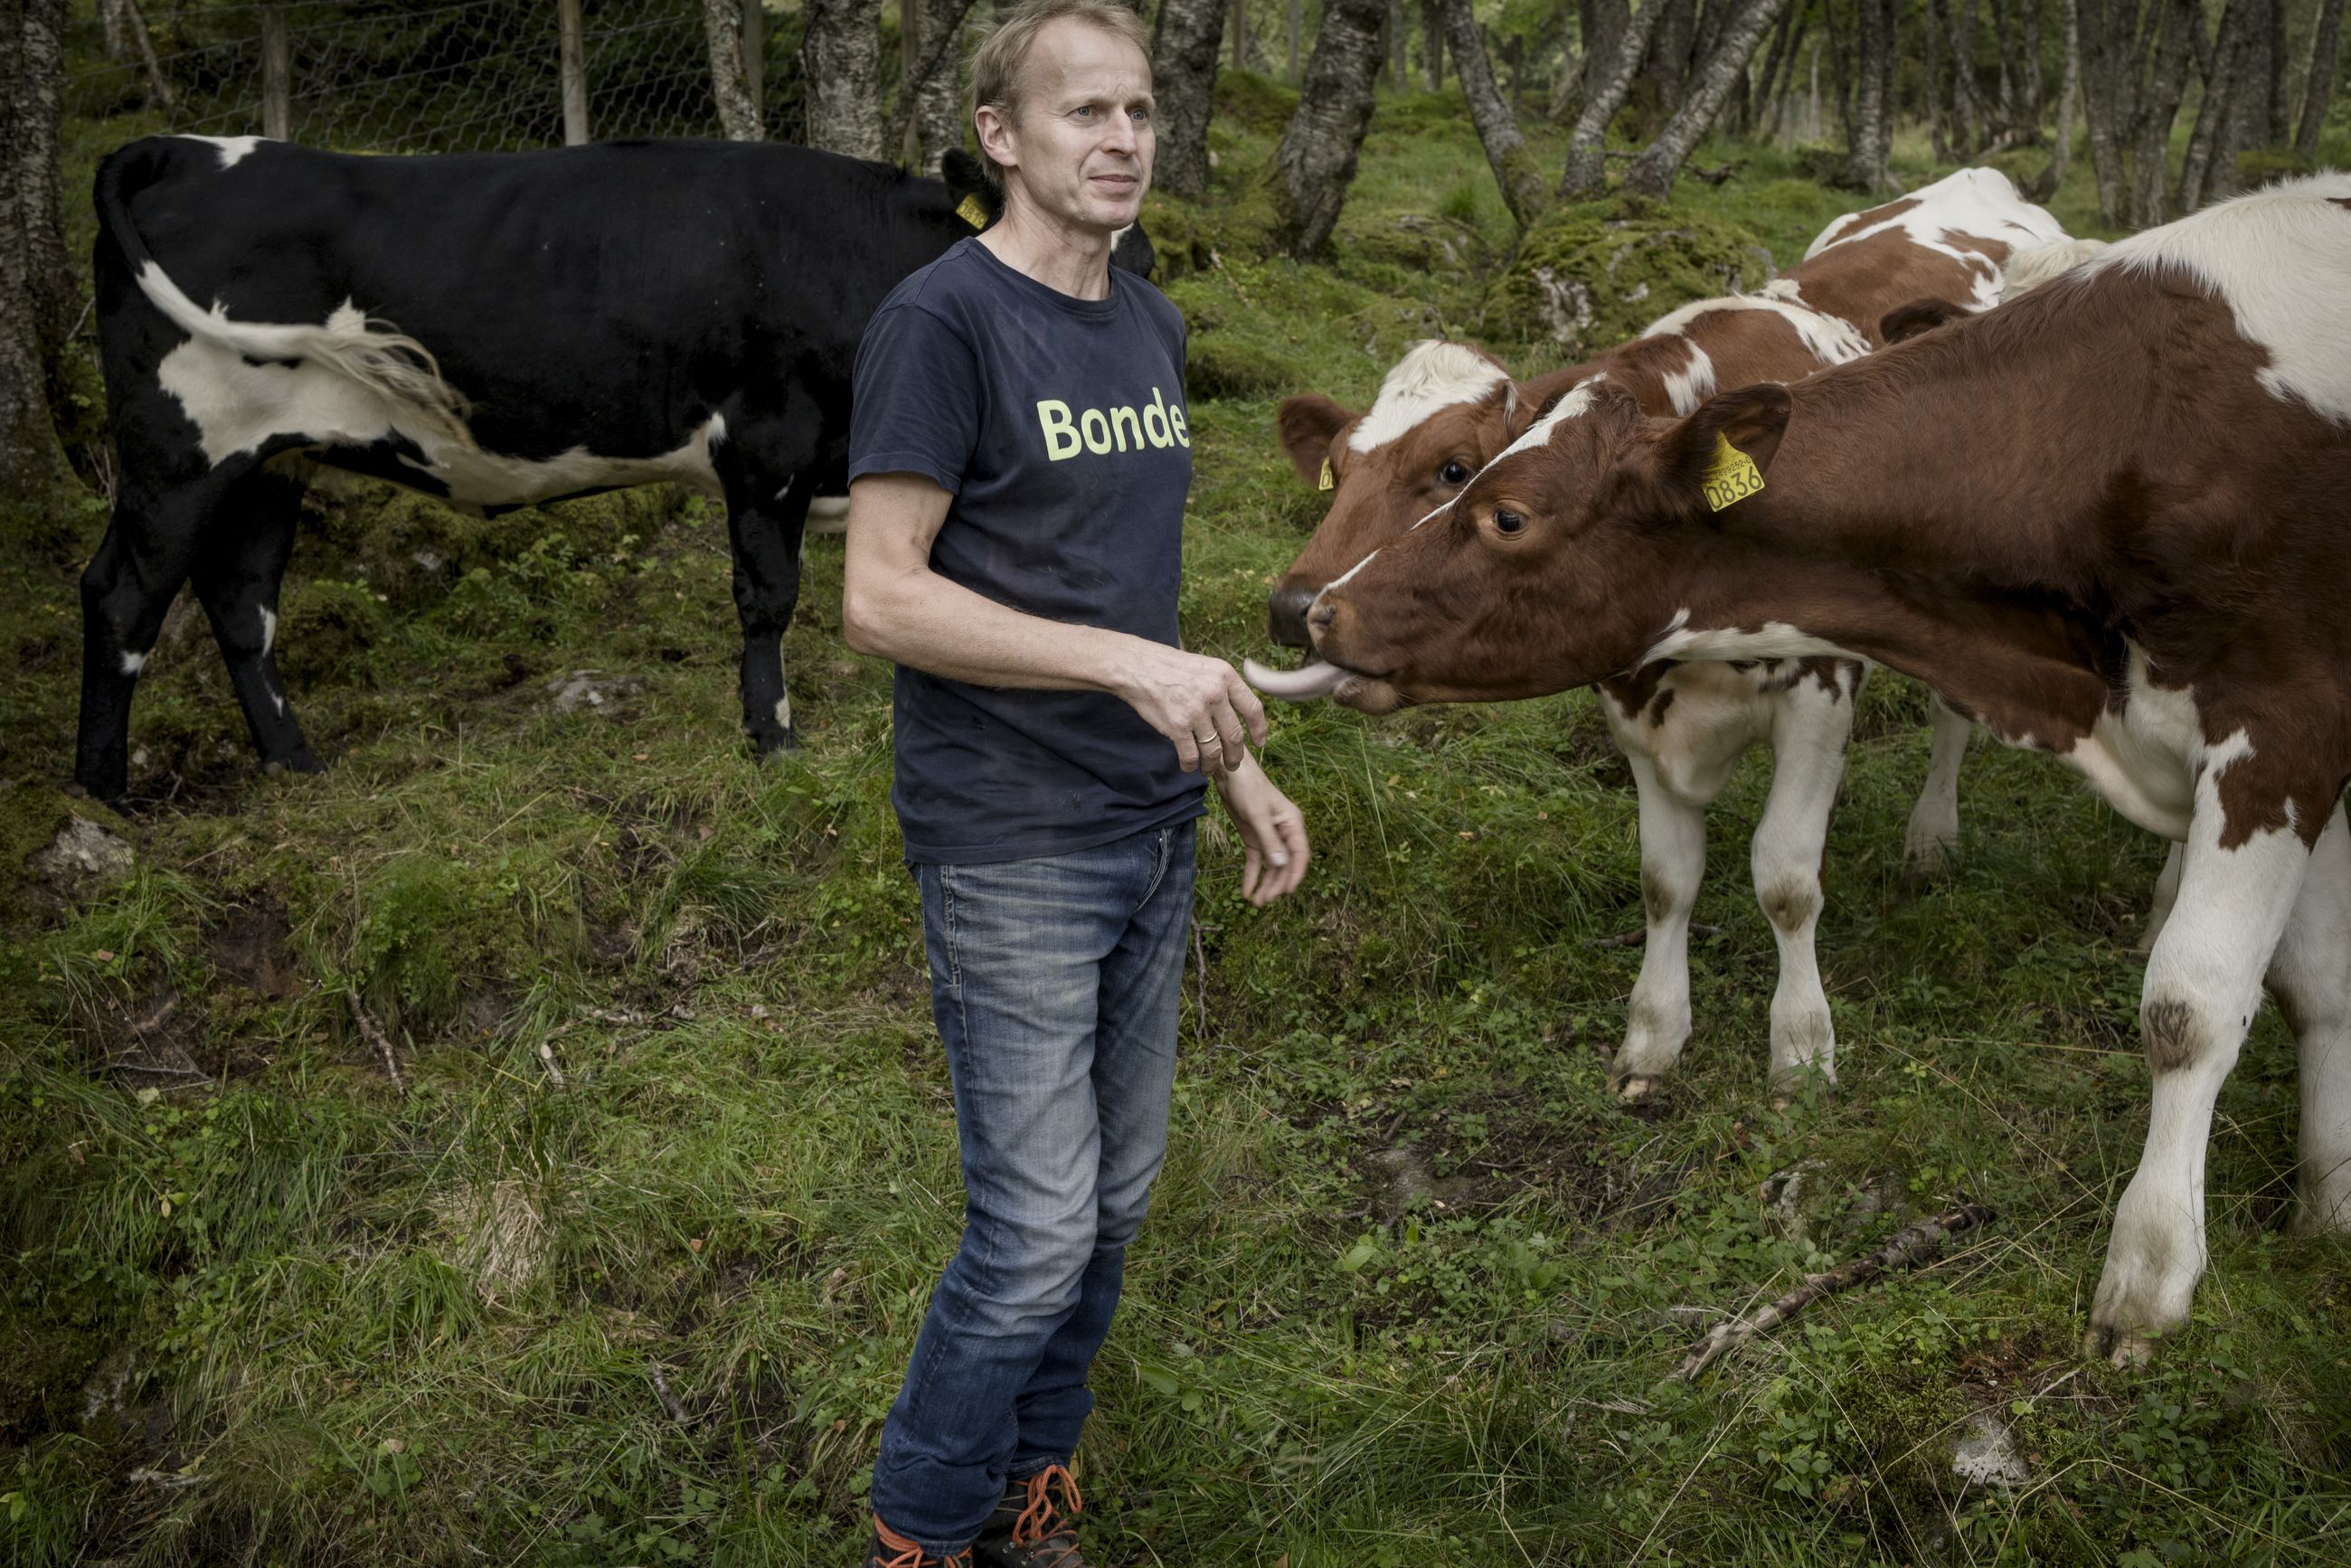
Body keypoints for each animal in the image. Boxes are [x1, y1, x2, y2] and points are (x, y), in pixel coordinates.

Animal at [77, 134, 1151, 805]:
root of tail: (179, 147)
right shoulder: (766, 442)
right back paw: (102, 793)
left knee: (240, 609)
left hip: (269, 464)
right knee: (121, 597)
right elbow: (767, 596)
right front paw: (774, 737)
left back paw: (294, 763)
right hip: (178, 449)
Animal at [1256, 169, 2070, 1102]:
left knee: (1949, 716)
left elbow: (1787, 879)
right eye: (1339, 468)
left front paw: (1802, 1049)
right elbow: (1664, 881)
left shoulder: (1819, 690)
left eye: (1458, 472)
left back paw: (1931, 837)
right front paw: (1653, 1036)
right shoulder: (1631, 701)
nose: (1297, 607)